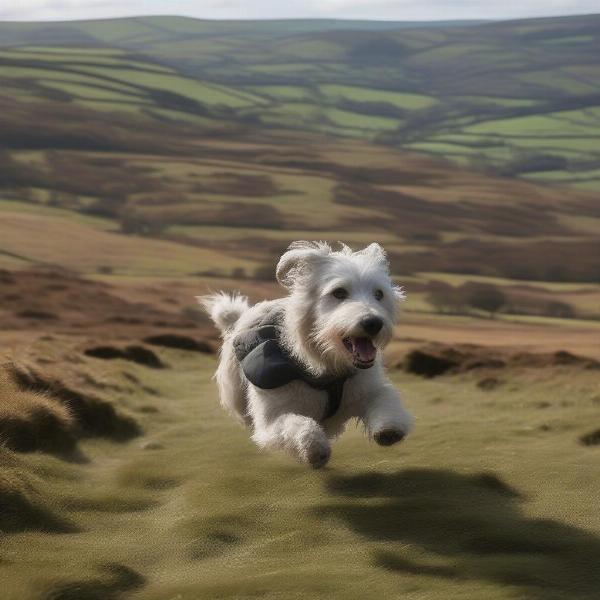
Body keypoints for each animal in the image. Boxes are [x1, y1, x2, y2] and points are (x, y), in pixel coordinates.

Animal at [199, 241, 414, 466]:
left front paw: (389, 428)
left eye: (379, 294)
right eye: (339, 292)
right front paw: (314, 447)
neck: (326, 366)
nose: (373, 323)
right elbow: (298, 425)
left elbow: (385, 400)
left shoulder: (366, 388)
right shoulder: (272, 420)